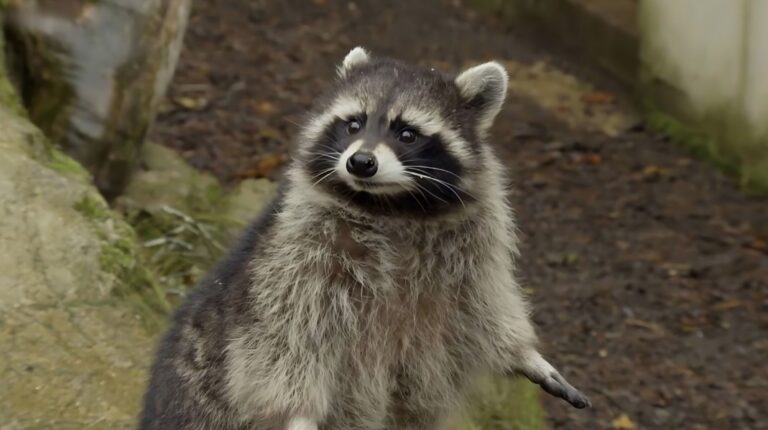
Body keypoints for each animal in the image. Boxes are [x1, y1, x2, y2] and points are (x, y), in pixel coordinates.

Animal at [140, 47, 590, 430]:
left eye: (407, 133)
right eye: (353, 123)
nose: (360, 162)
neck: (391, 207)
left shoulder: (471, 249)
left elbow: (484, 309)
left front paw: (523, 353)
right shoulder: (294, 258)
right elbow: (282, 340)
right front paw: (297, 413)